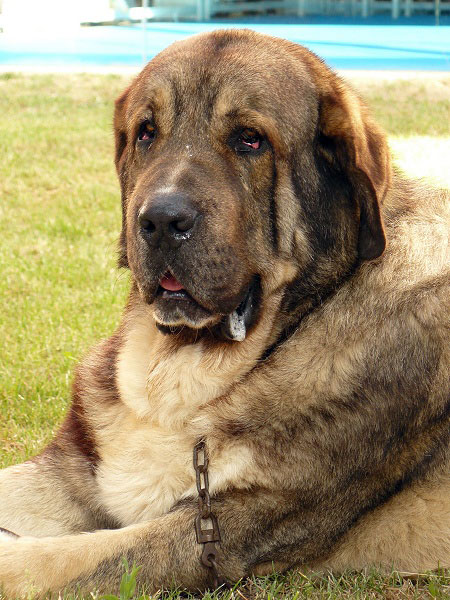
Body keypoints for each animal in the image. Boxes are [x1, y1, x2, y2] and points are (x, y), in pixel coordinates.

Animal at [0, 29, 450, 600]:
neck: (177, 377)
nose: (161, 220)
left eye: (250, 140)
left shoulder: (219, 530)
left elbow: (55, 560)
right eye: (147, 133)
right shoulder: (75, 473)